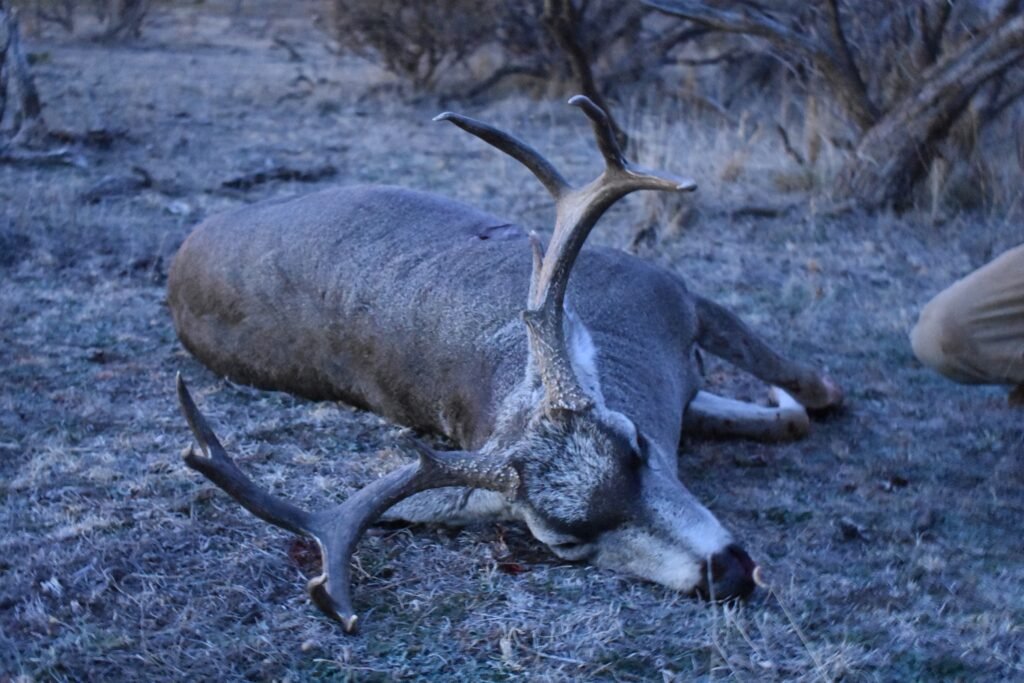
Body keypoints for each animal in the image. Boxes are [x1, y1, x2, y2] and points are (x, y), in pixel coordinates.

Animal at [169, 96, 842, 633]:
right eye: (566, 541)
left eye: (637, 445)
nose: (726, 571)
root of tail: (182, 254)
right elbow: (795, 411)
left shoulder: (673, 294)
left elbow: (803, 392)